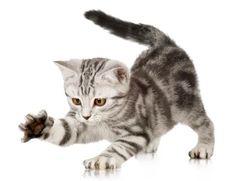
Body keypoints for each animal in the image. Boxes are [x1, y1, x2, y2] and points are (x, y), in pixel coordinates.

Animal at [18, 10, 214, 170]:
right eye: (76, 100)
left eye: (99, 101)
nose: (87, 116)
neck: (105, 120)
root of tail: (166, 44)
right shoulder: (78, 123)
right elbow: (64, 130)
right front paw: (38, 125)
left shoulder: (135, 132)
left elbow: (118, 146)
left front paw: (102, 159)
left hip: (186, 105)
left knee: (205, 122)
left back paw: (204, 146)